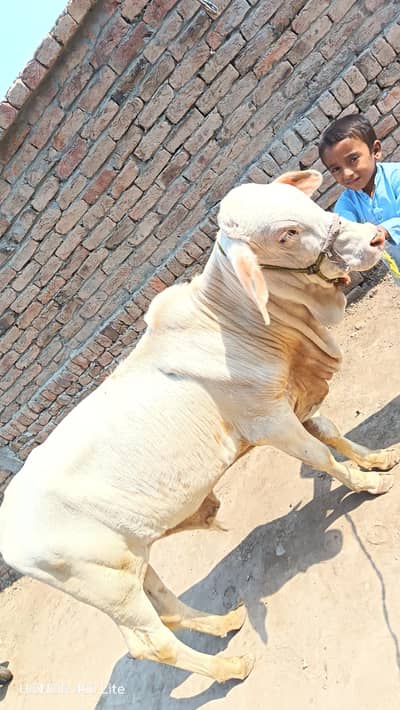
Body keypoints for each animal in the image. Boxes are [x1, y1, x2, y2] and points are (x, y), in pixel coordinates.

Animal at [0, 170, 399, 683]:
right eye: (286, 234)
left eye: (302, 202)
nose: (375, 238)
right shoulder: (269, 422)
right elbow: (322, 456)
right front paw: (369, 484)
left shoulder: (292, 398)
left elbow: (330, 432)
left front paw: (377, 459)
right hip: (105, 585)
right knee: (149, 644)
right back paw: (230, 666)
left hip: (132, 560)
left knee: (168, 608)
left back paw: (224, 623)